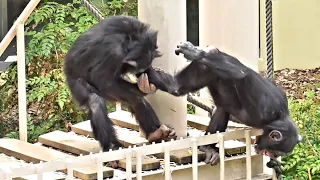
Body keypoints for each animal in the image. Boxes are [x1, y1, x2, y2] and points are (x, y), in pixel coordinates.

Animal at [64, 15, 178, 165]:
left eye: (143, 70)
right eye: (139, 70)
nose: (142, 74)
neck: (130, 38)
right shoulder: (113, 52)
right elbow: (104, 81)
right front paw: (146, 88)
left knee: (136, 100)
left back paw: (156, 133)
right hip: (74, 81)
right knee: (95, 102)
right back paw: (111, 147)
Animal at [138, 40, 302, 166]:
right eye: (276, 152)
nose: (272, 156)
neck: (276, 119)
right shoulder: (264, 109)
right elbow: (242, 75)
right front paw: (195, 53)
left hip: (204, 71)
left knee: (177, 87)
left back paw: (208, 148)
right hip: (207, 68)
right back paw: (199, 53)